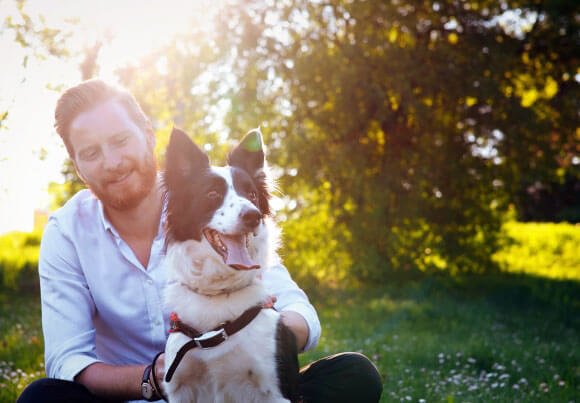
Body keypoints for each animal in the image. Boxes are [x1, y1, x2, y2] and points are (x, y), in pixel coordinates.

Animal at [163, 128, 300, 402]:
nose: (253, 216)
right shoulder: (181, 387)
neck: (219, 293)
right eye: (212, 195)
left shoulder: (274, 390)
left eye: (252, 195)